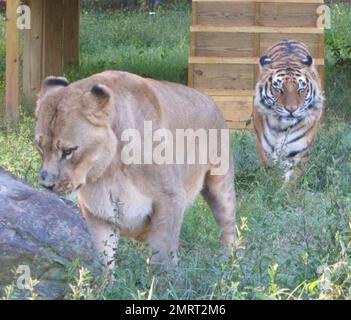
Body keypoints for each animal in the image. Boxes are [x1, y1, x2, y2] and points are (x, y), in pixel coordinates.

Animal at [253, 38, 324, 179]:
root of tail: (288, 39)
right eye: (278, 88)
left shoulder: (300, 152)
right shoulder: (264, 150)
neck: (281, 127)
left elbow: (291, 179)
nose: (291, 109)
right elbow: (270, 176)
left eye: (301, 88)